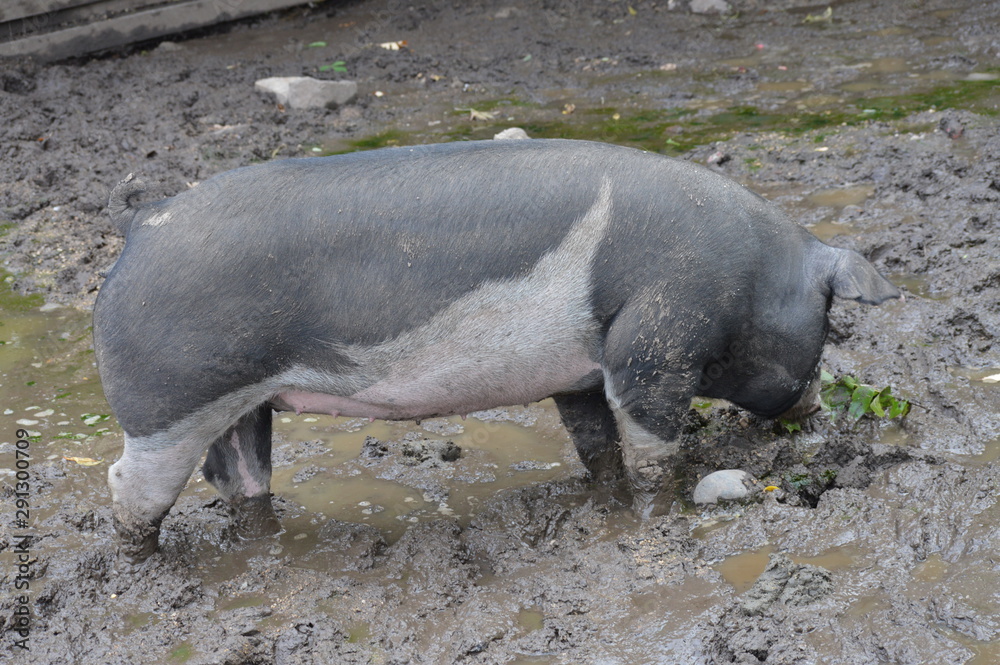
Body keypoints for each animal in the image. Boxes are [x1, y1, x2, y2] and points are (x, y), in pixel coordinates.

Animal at [94, 139, 904, 560]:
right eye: (829, 323)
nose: (813, 407)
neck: (751, 278)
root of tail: (141, 226)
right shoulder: (654, 344)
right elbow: (653, 445)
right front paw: (660, 512)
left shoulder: (580, 371)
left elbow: (596, 445)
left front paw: (606, 501)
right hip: (168, 400)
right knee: (128, 484)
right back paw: (144, 563)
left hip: (241, 401)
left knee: (238, 473)